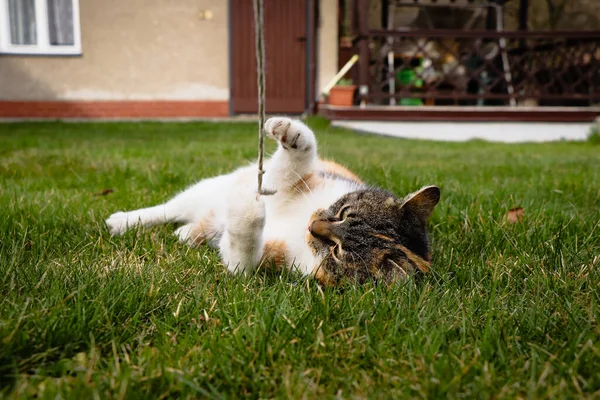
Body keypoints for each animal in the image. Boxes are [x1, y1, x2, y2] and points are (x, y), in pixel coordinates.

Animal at [105, 115, 438, 284]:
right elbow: (288, 168)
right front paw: (292, 133)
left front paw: (245, 213)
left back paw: (189, 233)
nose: (313, 226)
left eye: (338, 252)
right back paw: (122, 221)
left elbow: (241, 256)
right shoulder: (297, 181)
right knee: (165, 210)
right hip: (205, 190)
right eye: (344, 211)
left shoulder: (268, 260)